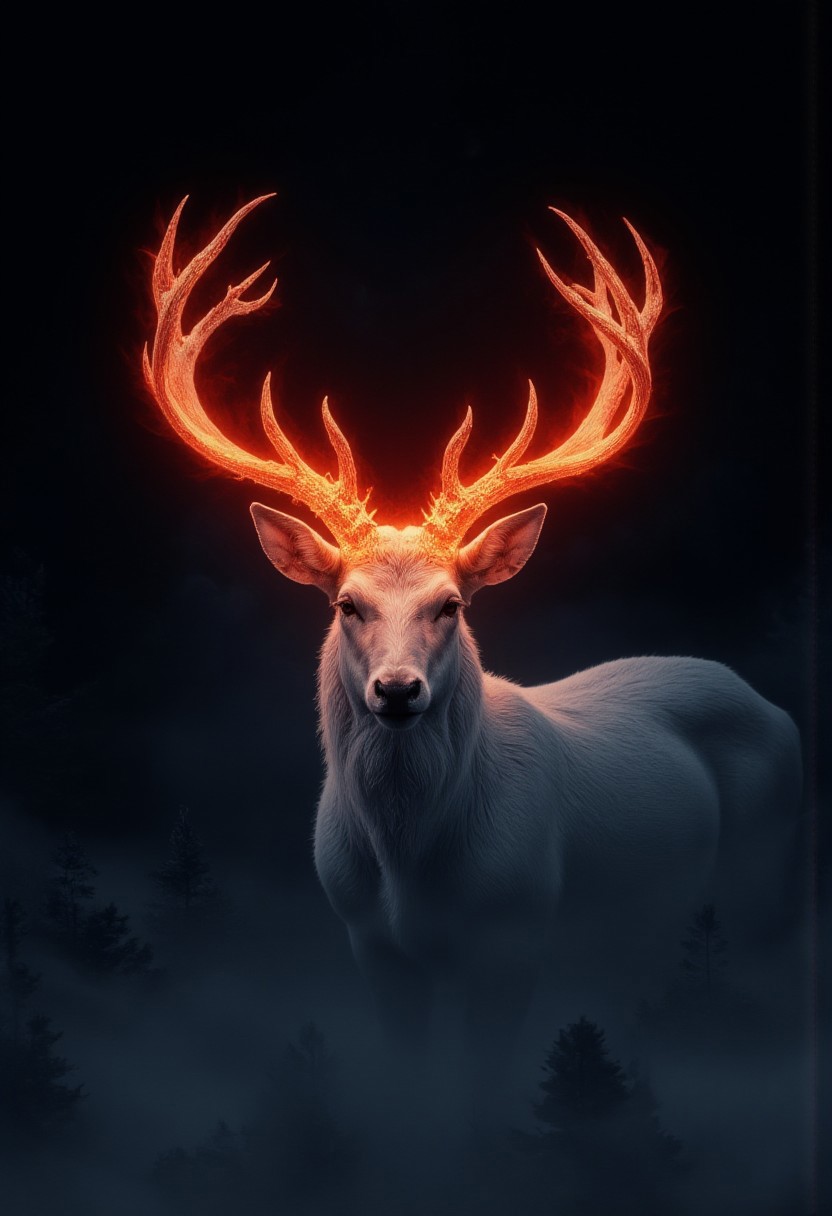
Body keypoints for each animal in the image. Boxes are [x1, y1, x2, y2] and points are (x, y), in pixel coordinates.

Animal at [142, 194, 802, 1078]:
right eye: (346, 604)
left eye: (451, 603)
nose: (396, 689)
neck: (413, 868)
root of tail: (771, 705)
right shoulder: (370, 946)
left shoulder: (515, 938)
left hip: (767, 872)